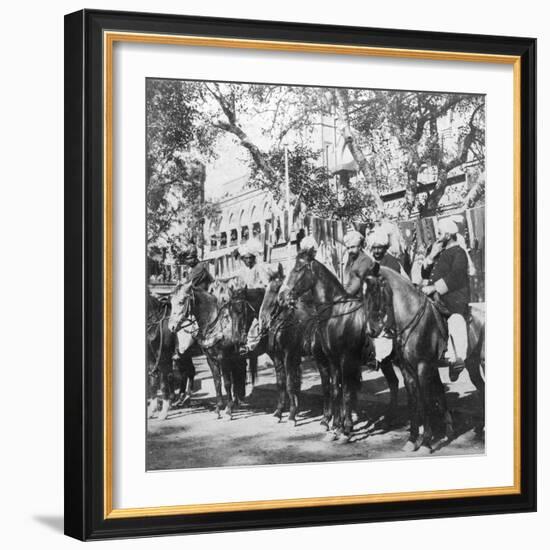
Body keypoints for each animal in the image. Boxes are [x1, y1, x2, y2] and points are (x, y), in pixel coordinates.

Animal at [248, 266, 334, 430]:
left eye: (277, 289)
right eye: (266, 289)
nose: (263, 320)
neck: (286, 322)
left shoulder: (289, 354)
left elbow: (290, 384)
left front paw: (292, 416)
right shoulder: (277, 357)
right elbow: (281, 383)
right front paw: (278, 413)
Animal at [280, 254, 402, 444]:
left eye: (298, 269)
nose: (283, 296)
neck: (336, 314)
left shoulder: (346, 360)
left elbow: (346, 392)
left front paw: (346, 430)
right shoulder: (333, 360)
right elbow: (336, 390)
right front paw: (336, 428)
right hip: (386, 362)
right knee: (394, 384)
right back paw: (389, 419)